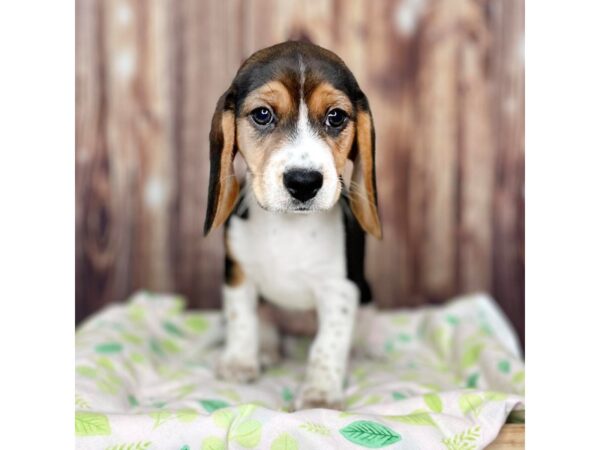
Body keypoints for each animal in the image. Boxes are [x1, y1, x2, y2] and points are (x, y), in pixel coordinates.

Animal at [202, 40, 380, 410]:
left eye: (336, 117)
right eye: (262, 115)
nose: (303, 182)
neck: (287, 226)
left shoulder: (339, 289)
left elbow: (328, 345)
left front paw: (320, 394)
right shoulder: (238, 273)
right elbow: (242, 321)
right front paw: (239, 362)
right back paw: (267, 350)